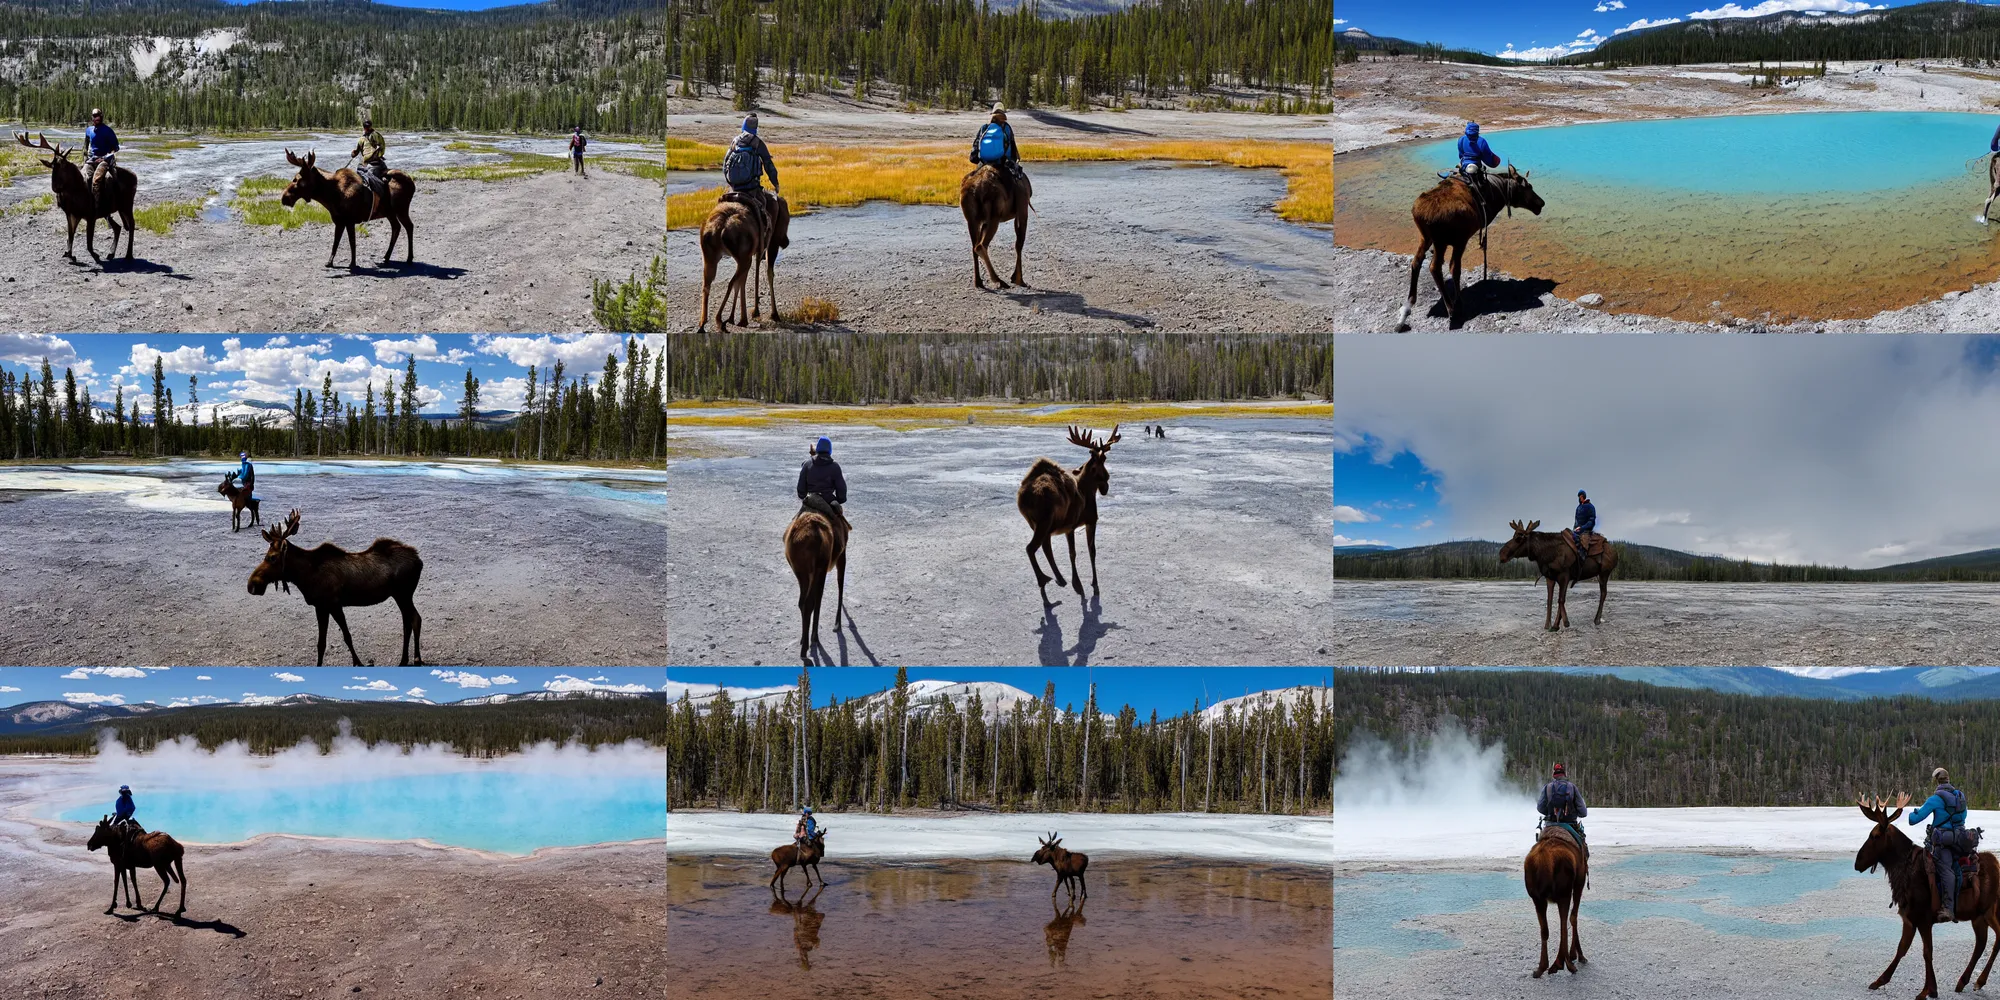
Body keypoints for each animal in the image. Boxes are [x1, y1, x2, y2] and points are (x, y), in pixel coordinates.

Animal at [13, 132, 136, 262]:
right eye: (52, 166)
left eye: (63, 165)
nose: (55, 187)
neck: (74, 194)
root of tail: (135, 176)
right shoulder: (72, 214)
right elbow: (70, 235)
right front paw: (69, 254)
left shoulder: (91, 216)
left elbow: (88, 243)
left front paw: (95, 255)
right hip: (110, 211)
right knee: (118, 227)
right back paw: (111, 253)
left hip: (127, 205)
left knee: (131, 225)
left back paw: (128, 254)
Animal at [248, 512, 424, 668]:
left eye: (272, 557)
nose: (252, 585)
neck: (305, 575)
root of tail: (419, 560)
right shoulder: (320, 607)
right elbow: (321, 643)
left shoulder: (334, 604)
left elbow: (347, 636)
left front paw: (358, 663)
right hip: (399, 595)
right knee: (407, 622)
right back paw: (403, 660)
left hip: (404, 594)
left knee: (415, 619)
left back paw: (416, 659)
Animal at [278, 148, 414, 270]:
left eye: (296, 179)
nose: (284, 198)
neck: (330, 196)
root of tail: (412, 183)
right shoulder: (339, 221)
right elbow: (336, 242)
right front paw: (330, 262)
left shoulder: (350, 220)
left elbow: (352, 243)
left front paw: (353, 264)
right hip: (390, 213)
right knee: (396, 227)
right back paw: (387, 257)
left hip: (401, 210)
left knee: (409, 226)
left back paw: (409, 258)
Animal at [1016, 424, 1128, 604]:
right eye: (1098, 464)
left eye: (1105, 459)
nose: (1105, 486)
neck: (1087, 489)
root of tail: (1023, 497)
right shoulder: (1083, 522)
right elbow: (1085, 552)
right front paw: (1084, 585)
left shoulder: (1071, 526)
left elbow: (1080, 552)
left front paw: (1080, 584)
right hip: (1044, 521)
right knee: (1031, 547)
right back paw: (1043, 579)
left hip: (1040, 524)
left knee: (1045, 546)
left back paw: (1060, 579)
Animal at [1848, 792, 1992, 996]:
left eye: (1874, 835)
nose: (1857, 862)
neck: (1902, 873)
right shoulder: (1910, 918)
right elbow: (1902, 949)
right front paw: (1879, 981)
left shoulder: (1924, 919)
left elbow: (1927, 952)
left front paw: (1928, 990)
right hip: (1980, 915)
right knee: (1983, 942)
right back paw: (1968, 981)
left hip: (1989, 911)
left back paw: (1975, 981)